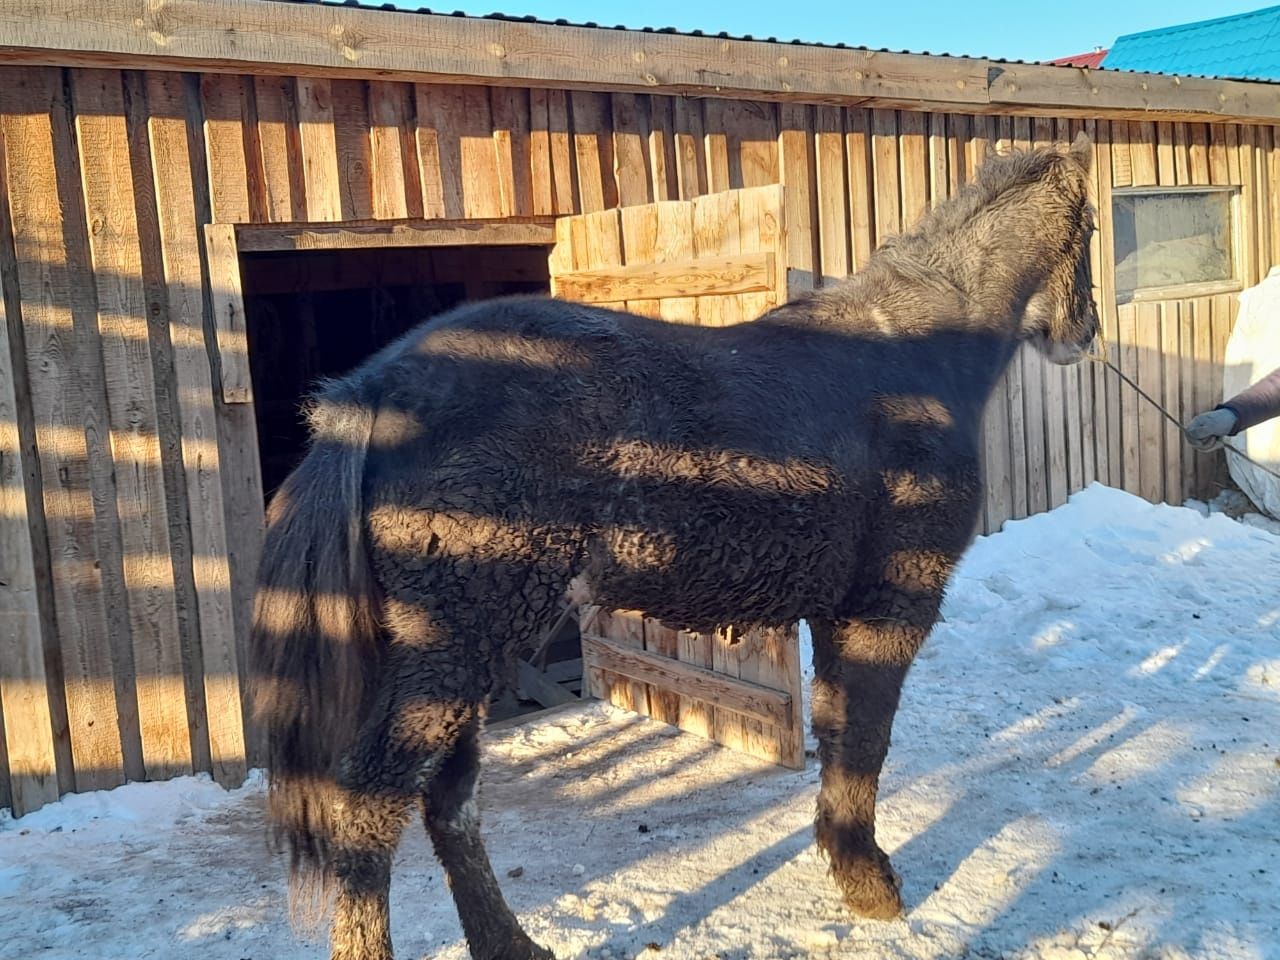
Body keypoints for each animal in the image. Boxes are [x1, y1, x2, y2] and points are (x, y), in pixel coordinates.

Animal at [252, 131, 1100, 957]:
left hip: (456, 645)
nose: (1083, 333)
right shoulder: (893, 607)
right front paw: (871, 886)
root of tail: (376, 390)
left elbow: (837, 736)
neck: (916, 350)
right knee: (374, 797)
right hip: (458, 640)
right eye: (1091, 227)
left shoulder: (838, 614)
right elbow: (865, 743)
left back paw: (512, 943)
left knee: (448, 800)